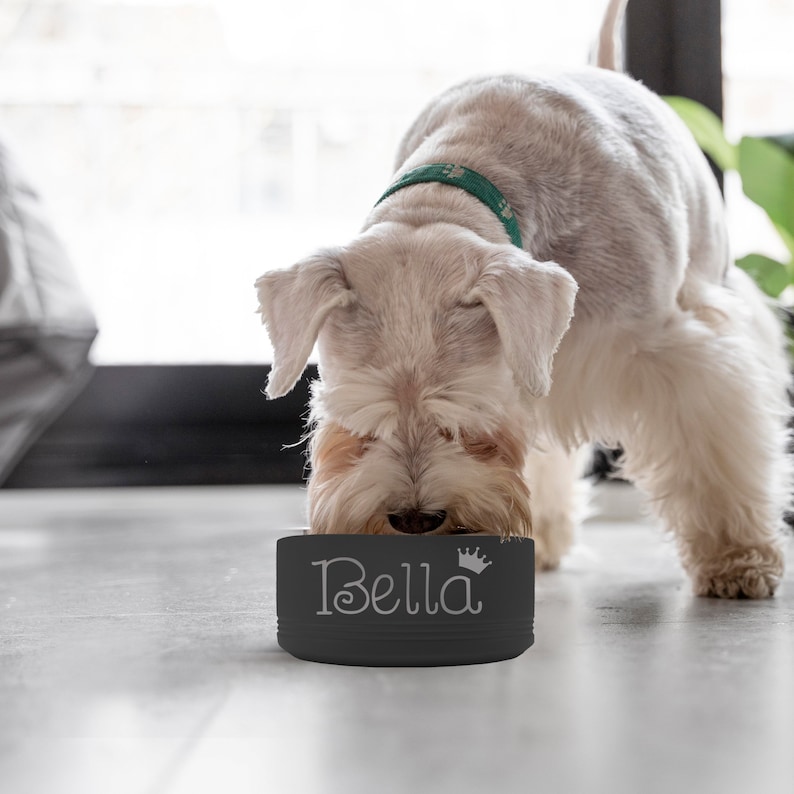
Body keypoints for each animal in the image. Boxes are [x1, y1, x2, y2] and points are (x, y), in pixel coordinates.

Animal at [256, 0, 788, 592]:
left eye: (468, 415)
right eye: (357, 419)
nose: (414, 518)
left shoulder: (671, 352)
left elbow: (709, 450)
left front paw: (736, 557)